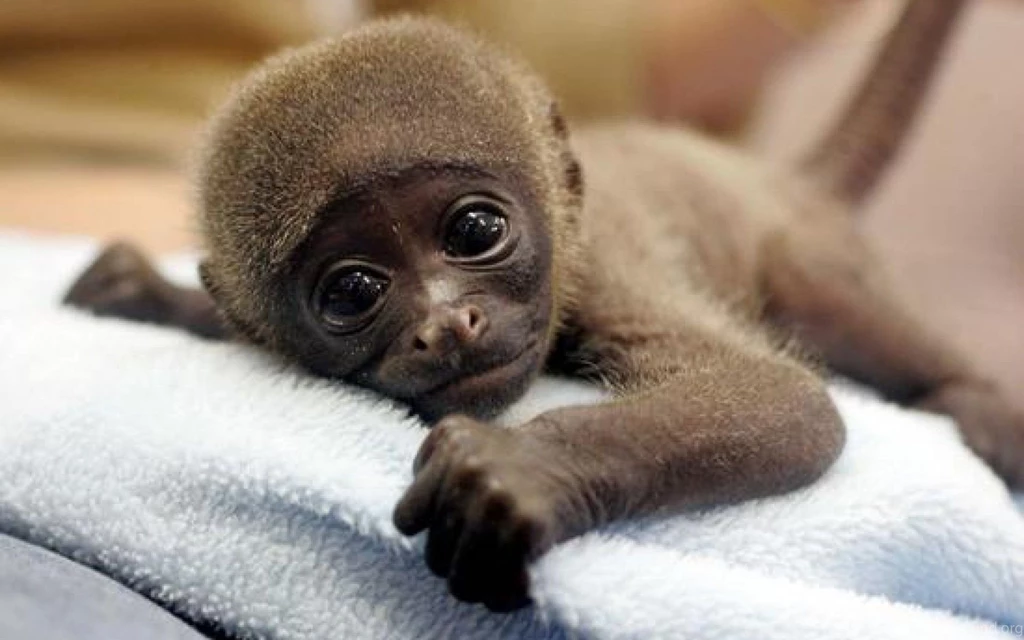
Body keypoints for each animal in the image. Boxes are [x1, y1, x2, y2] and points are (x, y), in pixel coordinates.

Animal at [64, 0, 1024, 613]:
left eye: (475, 229)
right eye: (354, 291)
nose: (447, 323)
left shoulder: (600, 272)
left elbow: (785, 398)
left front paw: (517, 471)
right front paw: (153, 294)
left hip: (806, 244)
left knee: (832, 302)